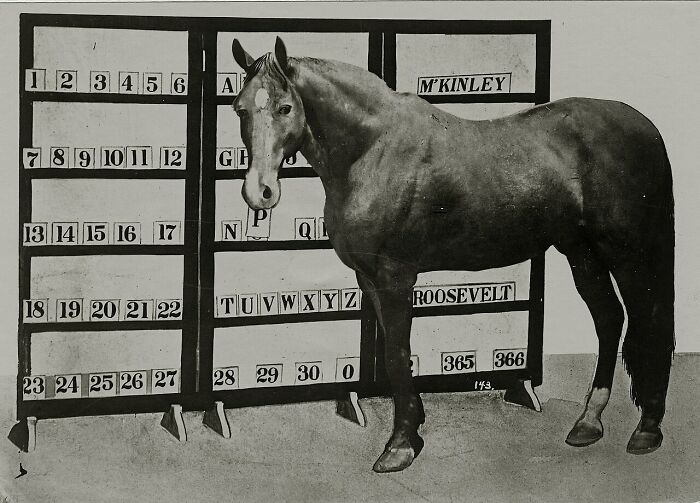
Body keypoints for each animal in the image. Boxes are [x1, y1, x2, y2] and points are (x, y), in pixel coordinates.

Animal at [230, 37, 675, 473]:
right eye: (240, 108)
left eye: (285, 107)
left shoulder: (395, 277)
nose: (259, 192)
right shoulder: (368, 278)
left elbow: (397, 354)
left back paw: (648, 429)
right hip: (582, 251)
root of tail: (646, 127)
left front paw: (400, 446)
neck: (373, 150)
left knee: (648, 319)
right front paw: (413, 427)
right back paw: (588, 422)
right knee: (609, 318)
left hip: (629, 253)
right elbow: (393, 351)